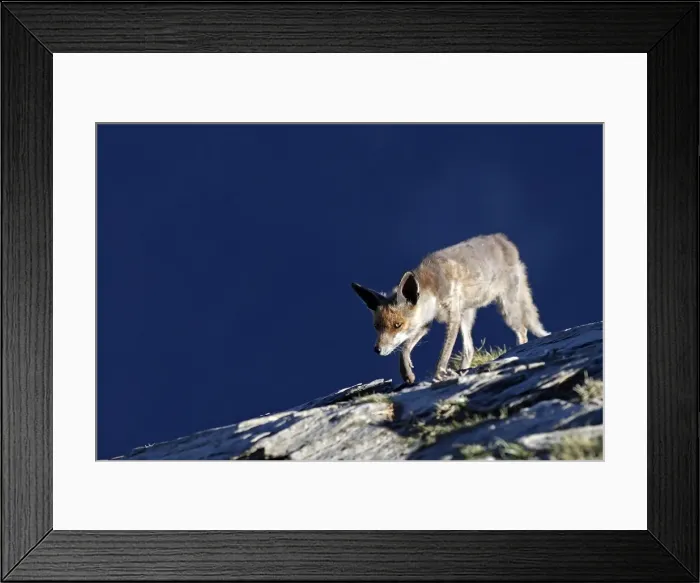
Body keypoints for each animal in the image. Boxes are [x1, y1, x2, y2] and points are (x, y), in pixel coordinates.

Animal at [351, 233, 549, 384]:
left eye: (397, 325)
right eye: (377, 326)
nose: (377, 349)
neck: (434, 288)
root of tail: (504, 240)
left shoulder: (452, 317)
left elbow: (443, 354)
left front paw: (439, 374)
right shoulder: (426, 323)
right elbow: (405, 348)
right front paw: (407, 372)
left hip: (505, 309)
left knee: (522, 330)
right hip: (467, 316)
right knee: (469, 349)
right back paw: (464, 371)